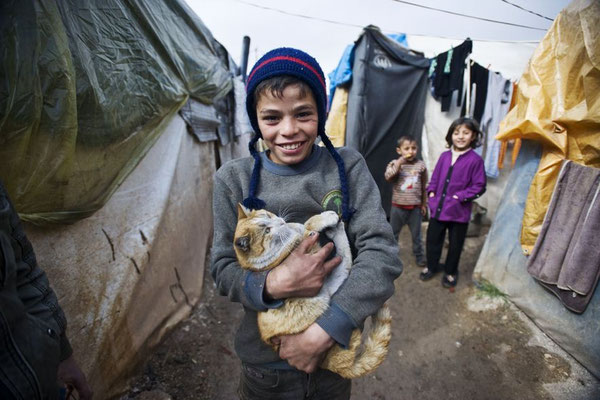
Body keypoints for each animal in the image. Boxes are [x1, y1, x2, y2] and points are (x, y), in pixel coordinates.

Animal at [232, 205, 392, 380]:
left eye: (268, 215)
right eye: (267, 230)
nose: (280, 221)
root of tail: (330, 365)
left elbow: (303, 224)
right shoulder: (304, 238)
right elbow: (308, 223)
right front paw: (322, 219)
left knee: (345, 258)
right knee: (345, 260)